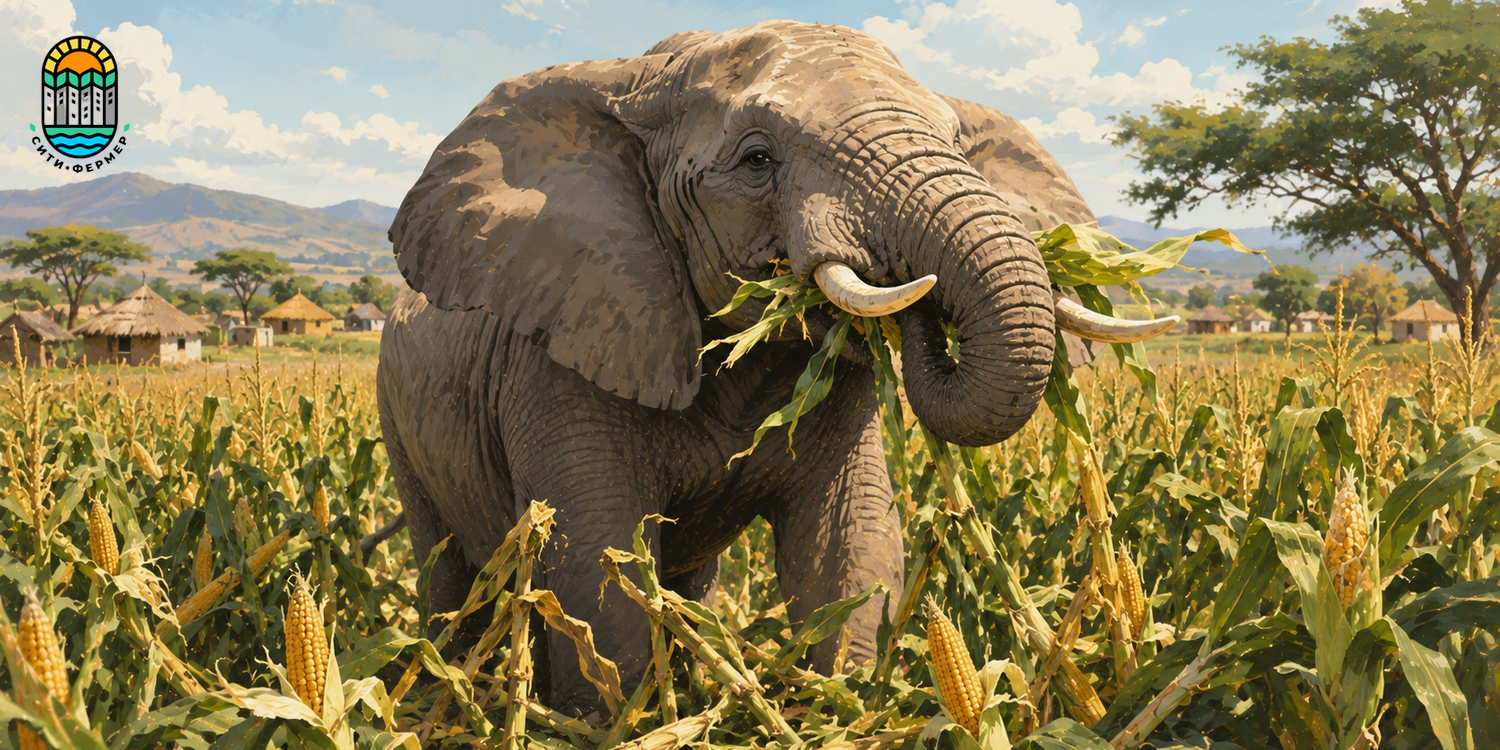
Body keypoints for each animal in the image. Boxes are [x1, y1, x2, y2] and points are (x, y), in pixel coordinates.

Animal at [377, 20, 1166, 716]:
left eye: (956, 144)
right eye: (757, 160)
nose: (916, 290)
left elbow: (847, 545)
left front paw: (844, 710)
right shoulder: (563, 351)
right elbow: (596, 563)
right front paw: (616, 722)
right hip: (400, 422)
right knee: (449, 569)